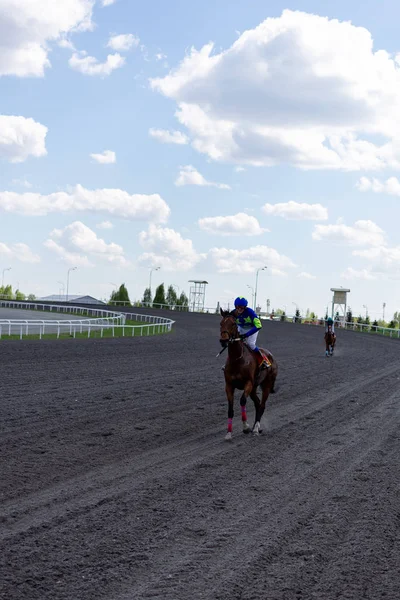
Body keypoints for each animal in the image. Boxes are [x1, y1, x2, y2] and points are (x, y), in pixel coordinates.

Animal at [219, 310, 278, 440]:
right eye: (221, 323)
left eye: (233, 324)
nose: (223, 340)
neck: (237, 359)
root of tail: (271, 356)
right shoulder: (229, 385)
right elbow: (230, 409)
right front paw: (228, 433)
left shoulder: (248, 383)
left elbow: (242, 401)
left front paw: (246, 427)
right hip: (254, 388)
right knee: (257, 404)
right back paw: (256, 427)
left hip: (266, 385)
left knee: (262, 405)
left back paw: (255, 429)